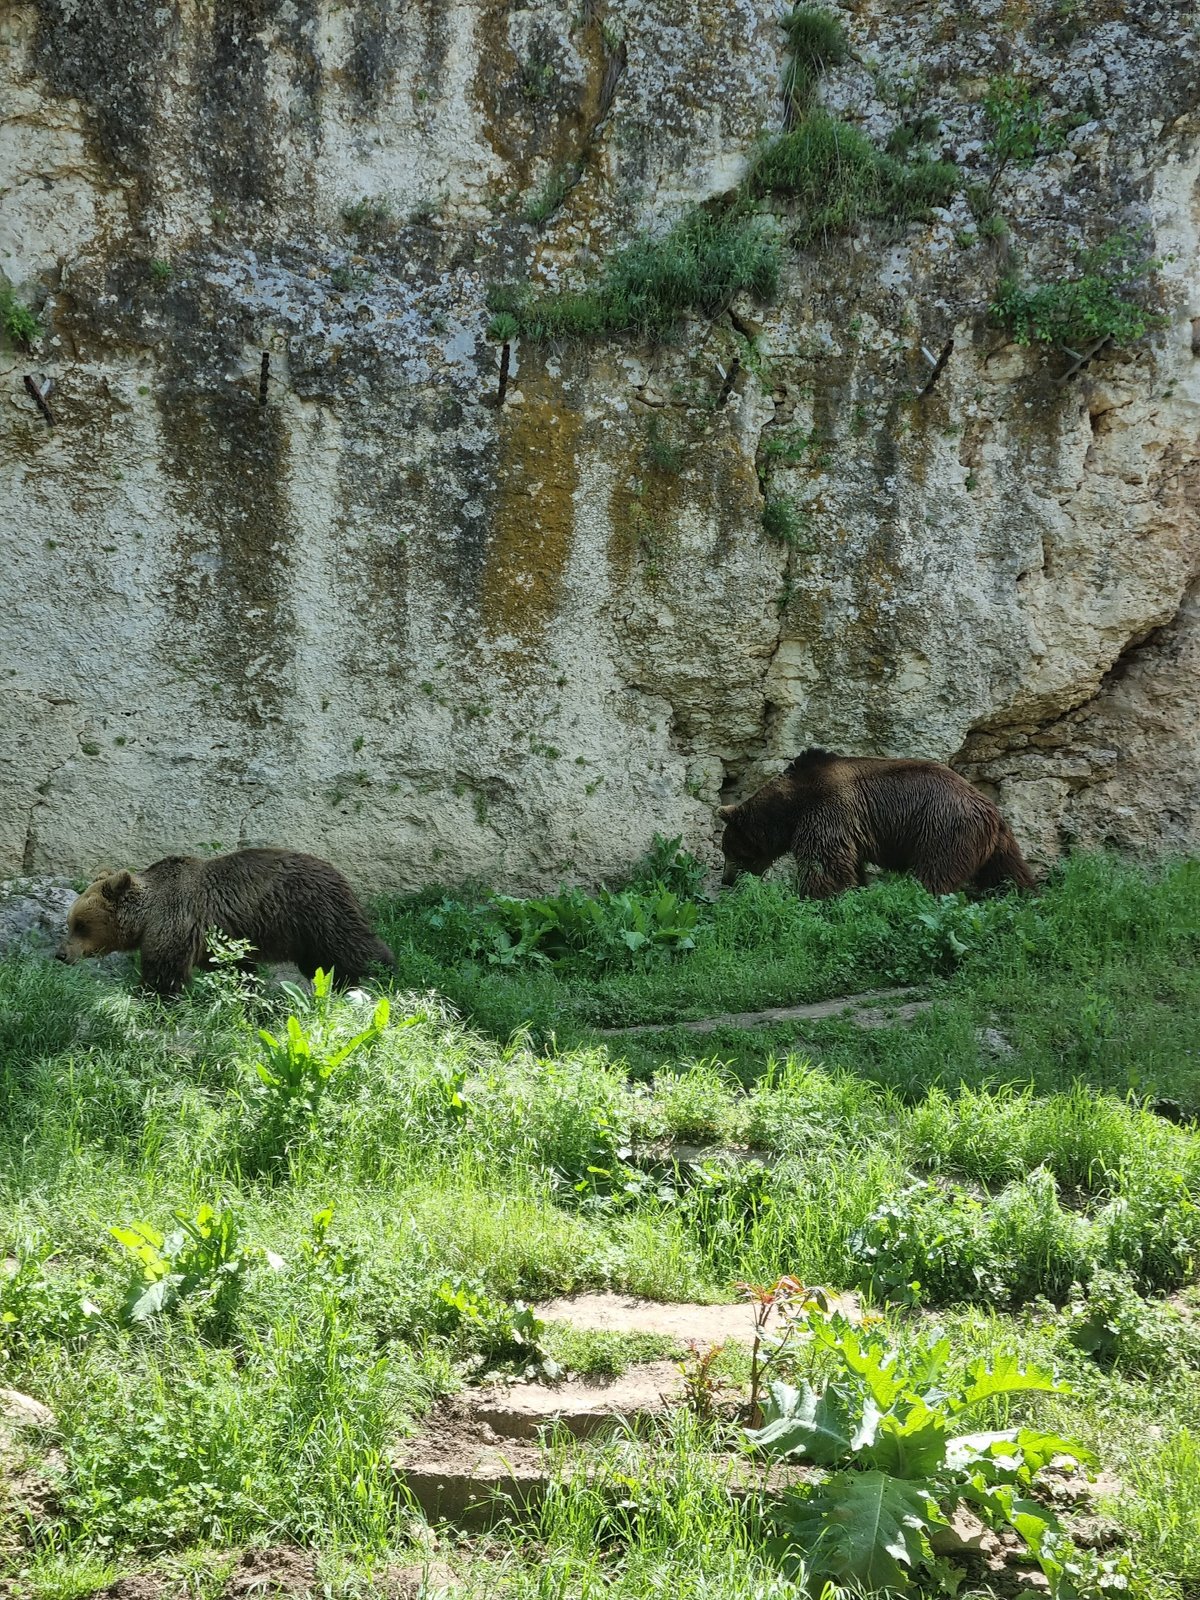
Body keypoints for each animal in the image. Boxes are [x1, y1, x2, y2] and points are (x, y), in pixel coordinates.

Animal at [56, 847, 396, 997]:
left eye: (81, 924)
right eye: (71, 922)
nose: (61, 954)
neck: (146, 917)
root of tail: (338, 872)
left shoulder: (175, 922)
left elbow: (163, 972)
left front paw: (150, 996)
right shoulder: (220, 940)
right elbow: (238, 969)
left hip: (314, 912)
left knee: (350, 946)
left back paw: (382, 970)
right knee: (323, 962)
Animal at [718, 748, 1036, 897]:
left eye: (728, 851)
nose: (726, 880)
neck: (790, 807)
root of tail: (991, 810)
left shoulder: (827, 810)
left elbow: (824, 862)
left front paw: (818, 897)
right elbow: (848, 864)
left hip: (943, 828)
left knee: (935, 873)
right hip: (997, 844)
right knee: (1005, 872)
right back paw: (1021, 894)